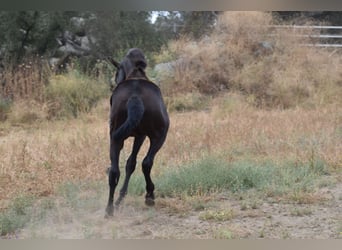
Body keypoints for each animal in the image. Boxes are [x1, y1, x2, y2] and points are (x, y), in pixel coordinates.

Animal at [104, 48, 168, 217]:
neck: (136, 74)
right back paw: (149, 196)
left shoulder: (134, 136)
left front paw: (120, 199)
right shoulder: (140, 136)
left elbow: (129, 164)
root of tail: (135, 97)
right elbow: (131, 164)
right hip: (159, 136)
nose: (113, 83)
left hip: (116, 138)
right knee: (146, 163)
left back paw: (110, 209)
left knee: (115, 171)